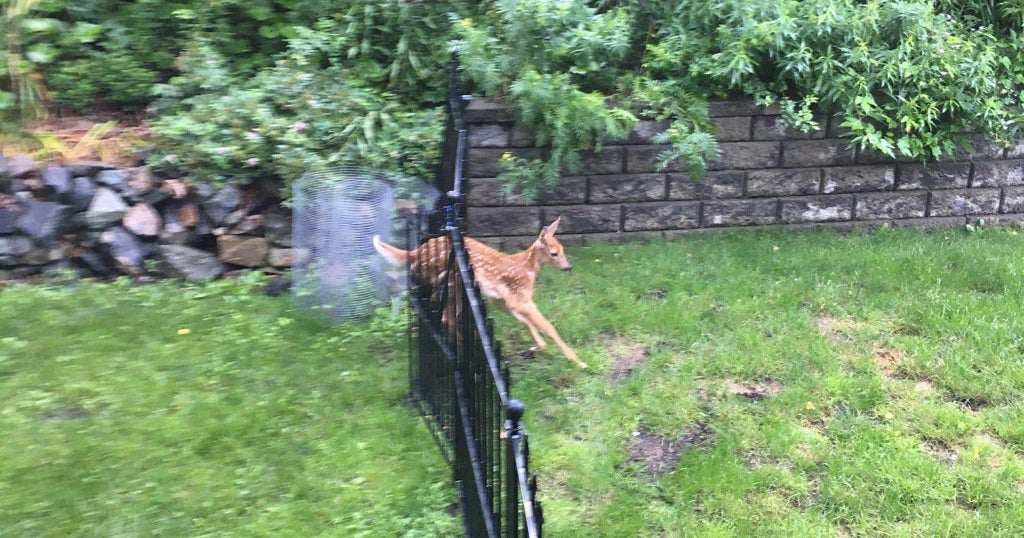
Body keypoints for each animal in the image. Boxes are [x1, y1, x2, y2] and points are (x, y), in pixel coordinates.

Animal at [373, 217, 586, 368]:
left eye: (563, 249)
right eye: (554, 253)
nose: (568, 267)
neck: (528, 269)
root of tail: (414, 252)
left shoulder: (501, 301)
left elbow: (526, 323)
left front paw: (540, 345)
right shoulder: (518, 297)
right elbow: (549, 327)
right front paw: (578, 361)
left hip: (452, 285)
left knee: (440, 311)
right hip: (452, 278)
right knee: (440, 310)